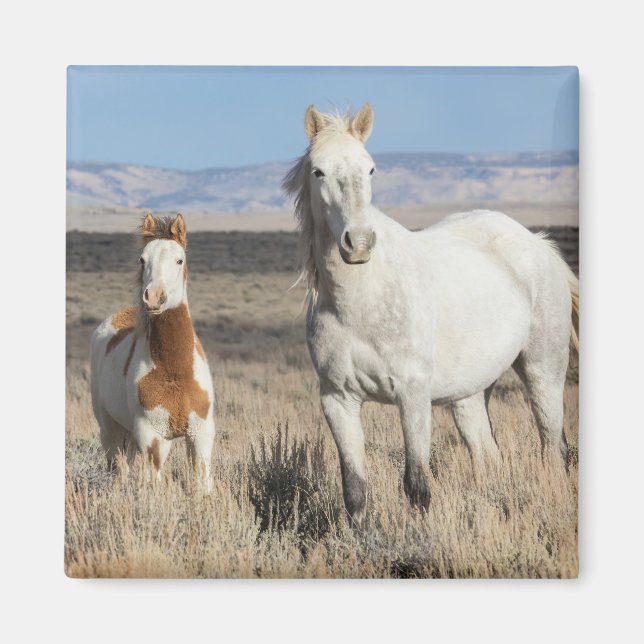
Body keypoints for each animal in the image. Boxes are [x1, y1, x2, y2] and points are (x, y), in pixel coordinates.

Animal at [90, 213, 216, 490]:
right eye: (142, 259)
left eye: (179, 259)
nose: (154, 297)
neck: (175, 371)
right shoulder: (152, 437)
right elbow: (154, 486)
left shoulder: (200, 435)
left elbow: (202, 484)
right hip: (111, 432)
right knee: (118, 470)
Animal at [283, 103, 579, 526]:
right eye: (317, 171)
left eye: (370, 169)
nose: (359, 243)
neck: (360, 301)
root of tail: (539, 243)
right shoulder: (338, 400)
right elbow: (354, 491)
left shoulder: (413, 395)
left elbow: (416, 485)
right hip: (470, 394)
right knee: (489, 457)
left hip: (543, 372)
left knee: (554, 450)